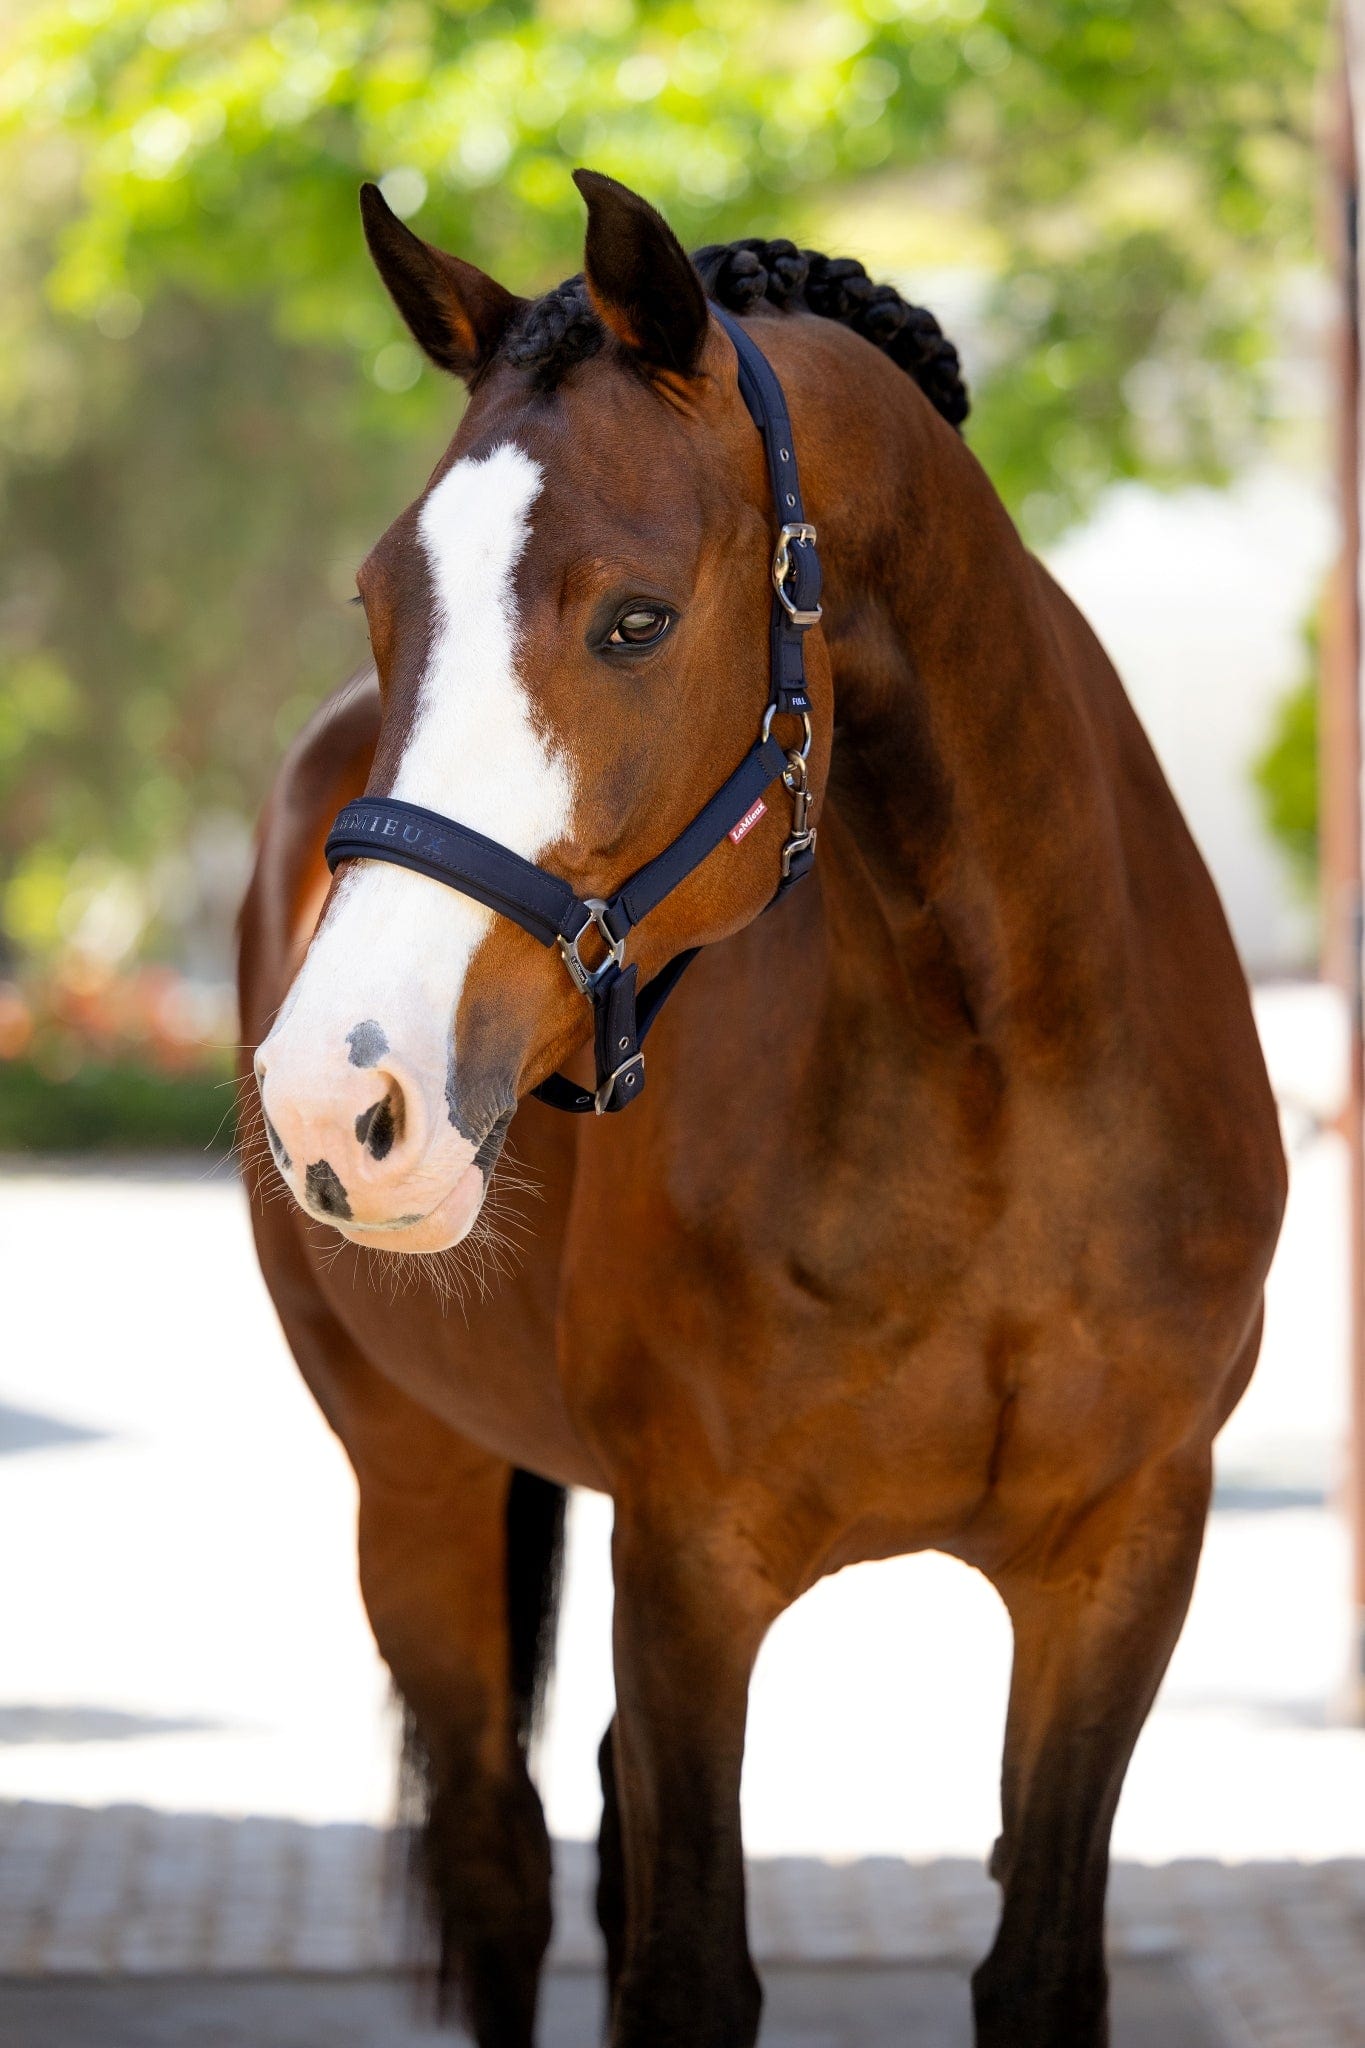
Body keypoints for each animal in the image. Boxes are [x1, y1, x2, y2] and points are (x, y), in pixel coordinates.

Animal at [240, 172, 1285, 2048]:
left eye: (635, 617)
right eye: (380, 599)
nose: (334, 1097)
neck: (993, 1088)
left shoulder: (1124, 1558)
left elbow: (1037, 1965)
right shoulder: (690, 1573)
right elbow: (688, 1972)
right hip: (415, 1481)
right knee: (501, 1867)